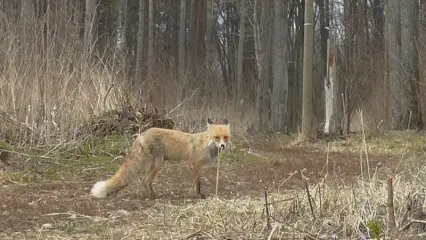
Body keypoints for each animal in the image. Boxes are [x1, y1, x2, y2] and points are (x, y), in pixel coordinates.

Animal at [88, 117, 231, 199]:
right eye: (216, 137)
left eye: (225, 137)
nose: (223, 146)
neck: (207, 144)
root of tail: (140, 135)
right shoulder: (196, 164)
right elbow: (198, 183)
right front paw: (199, 196)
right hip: (158, 164)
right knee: (145, 180)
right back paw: (152, 197)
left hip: (156, 163)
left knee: (146, 181)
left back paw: (153, 195)